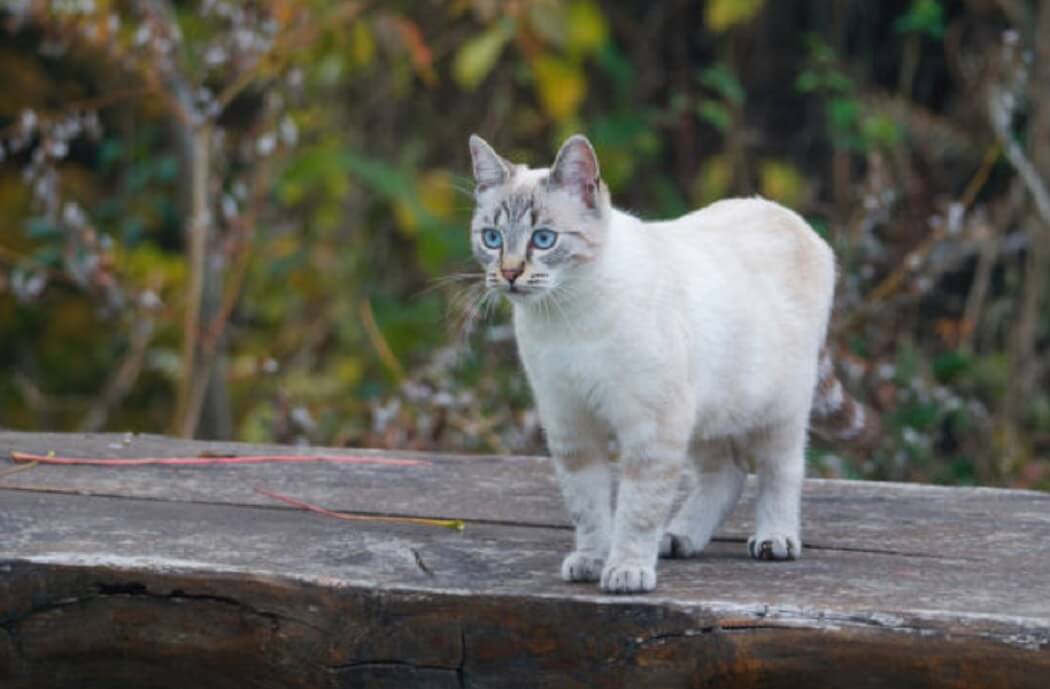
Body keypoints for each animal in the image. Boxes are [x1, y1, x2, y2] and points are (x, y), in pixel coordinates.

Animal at [466, 133, 869, 592]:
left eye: (544, 239)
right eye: (492, 238)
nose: (510, 273)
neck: (566, 317)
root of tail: (788, 216)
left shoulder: (653, 427)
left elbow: (637, 509)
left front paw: (626, 570)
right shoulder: (571, 426)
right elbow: (587, 507)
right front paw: (592, 561)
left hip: (777, 411)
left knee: (779, 471)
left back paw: (774, 540)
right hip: (708, 413)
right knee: (726, 474)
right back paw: (678, 537)